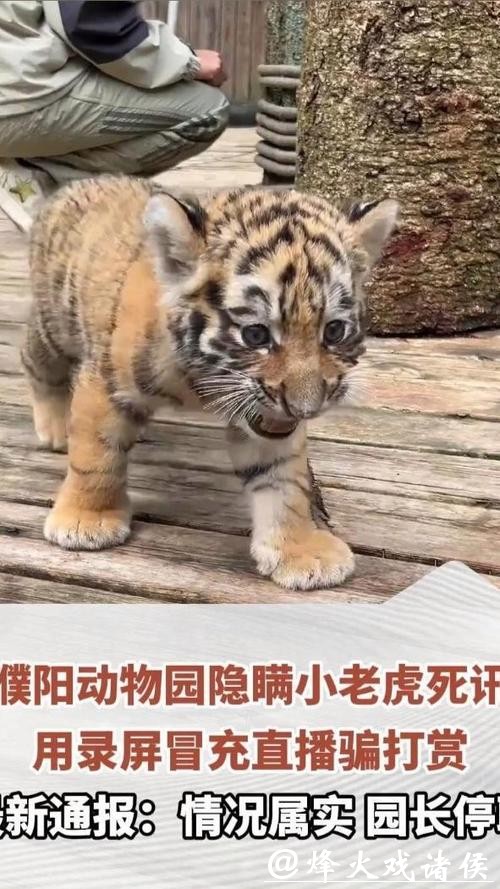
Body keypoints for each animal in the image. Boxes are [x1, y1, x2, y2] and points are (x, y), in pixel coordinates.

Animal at [22, 176, 399, 590]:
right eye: (255, 335)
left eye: (333, 331)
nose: (306, 409)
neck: (198, 382)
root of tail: (71, 186)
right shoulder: (107, 385)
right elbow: (97, 456)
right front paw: (85, 521)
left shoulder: (268, 425)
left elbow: (284, 482)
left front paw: (301, 551)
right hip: (53, 324)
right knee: (35, 360)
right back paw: (56, 428)